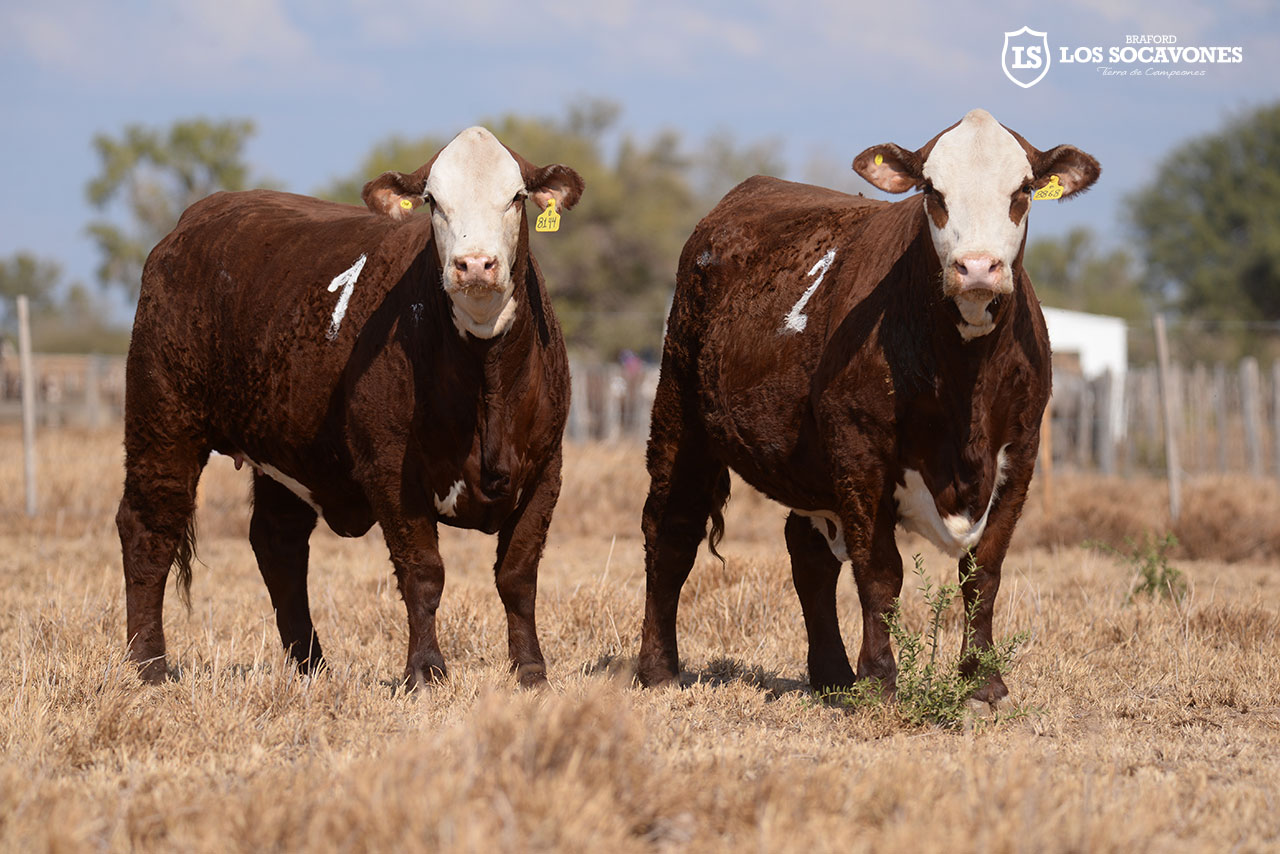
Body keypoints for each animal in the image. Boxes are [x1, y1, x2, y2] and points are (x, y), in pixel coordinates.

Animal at [117, 125, 583, 686]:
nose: (475, 265)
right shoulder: (391, 469)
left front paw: (530, 669)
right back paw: (148, 664)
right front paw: (425, 670)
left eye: (516, 197)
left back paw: (311, 664)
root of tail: (196, 218)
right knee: (149, 527)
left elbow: (517, 575)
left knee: (278, 543)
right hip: (162, 418)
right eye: (433, 201)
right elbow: (423, 571)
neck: (485, 378)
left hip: (283, 448)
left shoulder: (545, 469)